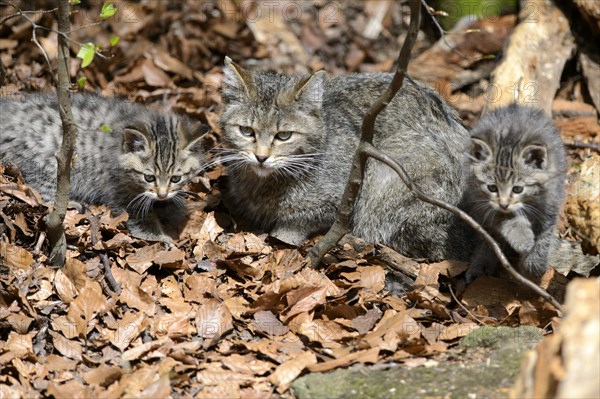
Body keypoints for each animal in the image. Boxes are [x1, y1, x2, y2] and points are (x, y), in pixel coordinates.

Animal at [0, 92, 207, 242]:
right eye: (149, 177)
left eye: (175, 178)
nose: (162, 195)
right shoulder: (120, 193)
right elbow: (140, 218)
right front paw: (161, 237)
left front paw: (176, 209)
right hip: (50, 164)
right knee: (43, 195)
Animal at [464, 104, 568, 282]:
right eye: (492, 188)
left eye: (517, 189)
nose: (504, 204)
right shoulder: (486, 204)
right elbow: (502, 220)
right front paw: (523, 239)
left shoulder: (552, 201)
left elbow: (546, 233)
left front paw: (536, 262)